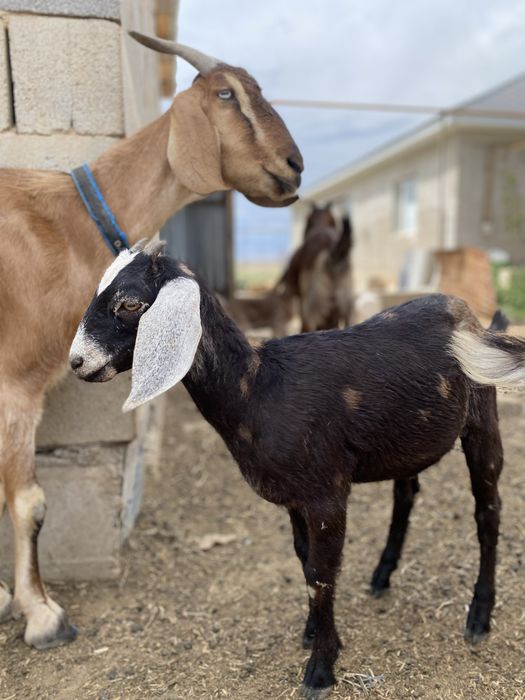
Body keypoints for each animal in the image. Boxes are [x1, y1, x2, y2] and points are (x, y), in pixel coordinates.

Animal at [0, 30, 302, 650]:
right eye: (226, 93)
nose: (296, 166)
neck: (67, 223)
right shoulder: (14, 382)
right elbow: (29, 500)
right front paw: (42, 613)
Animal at [70, 241, 525, 699]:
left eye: (129, 303)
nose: (76, 362)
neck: (258, 389)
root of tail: (466, 312)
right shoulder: (293, 498)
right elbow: (305, 563)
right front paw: (315, 633)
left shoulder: (327, 494)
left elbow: (322, 574)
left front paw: (320, 669)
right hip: (406, 438)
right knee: (407, 495)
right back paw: (383, 575)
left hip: (482, 419)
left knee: (488, 513)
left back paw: (479, 616)